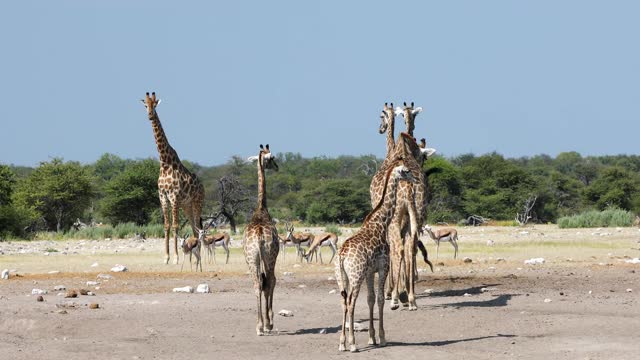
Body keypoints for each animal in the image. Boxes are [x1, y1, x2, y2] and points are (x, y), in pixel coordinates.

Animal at [141, 91, 204, 262]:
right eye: (145, 105)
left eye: (155, 105)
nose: (150, 116)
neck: (164, 162)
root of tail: (203, 186)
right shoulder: (162, 196)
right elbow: (167, 226)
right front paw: (166, 257)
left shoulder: (174, 196)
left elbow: (175, 226)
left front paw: (175, 257)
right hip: (186, 205)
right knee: (194, 228)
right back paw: (195, 255)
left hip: (197, 202)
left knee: (198, 226)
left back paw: (200, 255)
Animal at [336, 155, 416, 352]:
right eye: (406, 171)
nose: (415, 180)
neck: (380, 222)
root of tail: (341, 256)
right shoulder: (383, 267)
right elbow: (380, 299)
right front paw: (382, 338)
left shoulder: (369, 272)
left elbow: (371, 299)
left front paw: (372, 338)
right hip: (355, 276)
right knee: (351, 302)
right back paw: (352, 344)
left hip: (342, 277)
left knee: (343, 302)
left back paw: (342, 343)